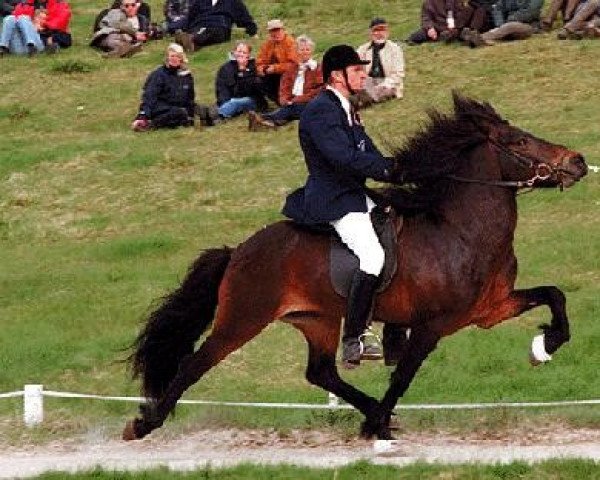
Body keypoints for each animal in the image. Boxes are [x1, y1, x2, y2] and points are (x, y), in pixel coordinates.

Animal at [120, 92, 584, 440]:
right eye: (518, 142)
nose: (577, 161)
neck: (460, 231)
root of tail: (238, 251)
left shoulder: (490, 309)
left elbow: (554, 295)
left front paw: (544, 346)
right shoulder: (431, 326)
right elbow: (404, 377)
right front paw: (378, 428)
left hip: (318, 319)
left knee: (321, 373)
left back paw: (371, 410)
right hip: (243, 319)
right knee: (195, 363)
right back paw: (144, 424)